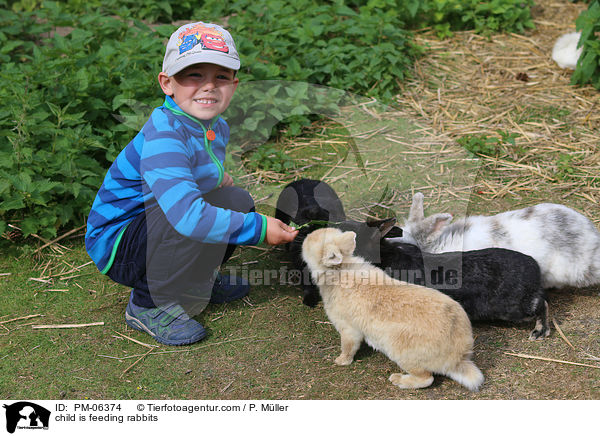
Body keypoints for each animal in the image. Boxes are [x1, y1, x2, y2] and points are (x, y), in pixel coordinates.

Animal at [302, 228, 486, 392]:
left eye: (313, 242)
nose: (305, 236)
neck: (338, 270)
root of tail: (457, 357)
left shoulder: (348, 329)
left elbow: (348, 347)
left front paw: (340, 361)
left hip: (403, 354)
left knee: (426, 378)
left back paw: (398, 380)